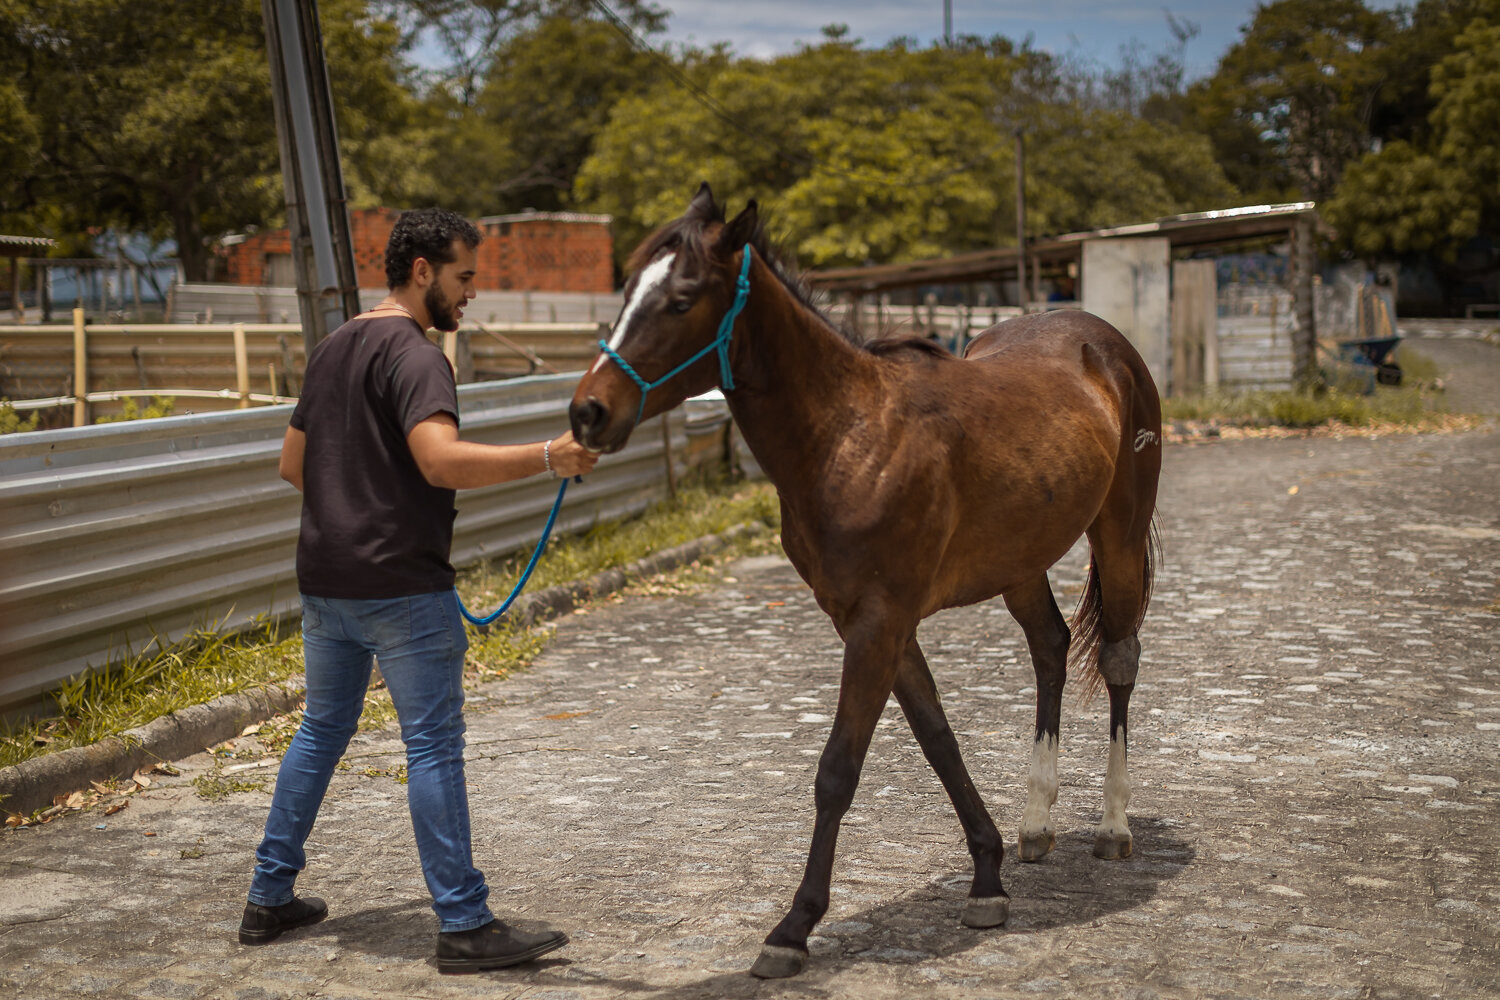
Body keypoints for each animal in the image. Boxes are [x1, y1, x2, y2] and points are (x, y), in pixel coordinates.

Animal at [569, 184, 1162, 979]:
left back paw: (1113, 824)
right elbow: (939, 740)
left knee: (1120, 659)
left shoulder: (879, 625)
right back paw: (1037, 823)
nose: (587, 412)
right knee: (1050, 648)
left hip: (1119, 536)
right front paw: (987, 876)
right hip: (1020, 561)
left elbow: (838, 770)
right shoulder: (875, 622)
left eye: (682, 299)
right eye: (628, 288)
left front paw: (793, 927)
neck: (850, 436)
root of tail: (1104, 345)